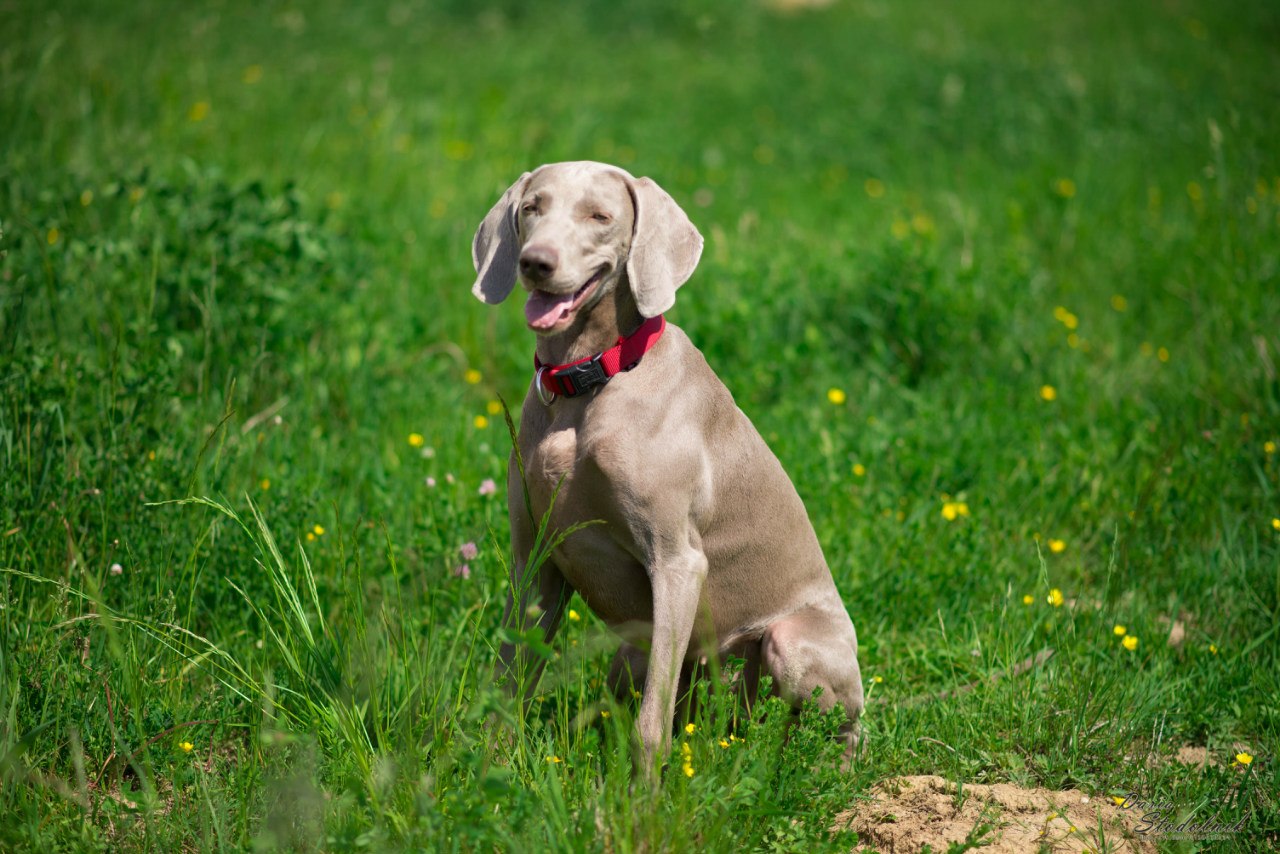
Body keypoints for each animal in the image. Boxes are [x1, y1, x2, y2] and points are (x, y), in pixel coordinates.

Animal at [465, 160, 865, 773]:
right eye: (532, 207)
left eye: (599, 216)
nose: (535, 263)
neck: (591, 377)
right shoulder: (535, 558)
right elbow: (511, 680)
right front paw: (487, 771)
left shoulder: (678, 563)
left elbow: (650, 727)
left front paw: (641, 797)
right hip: (635, 652)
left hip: (790, 643)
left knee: (835, 733)